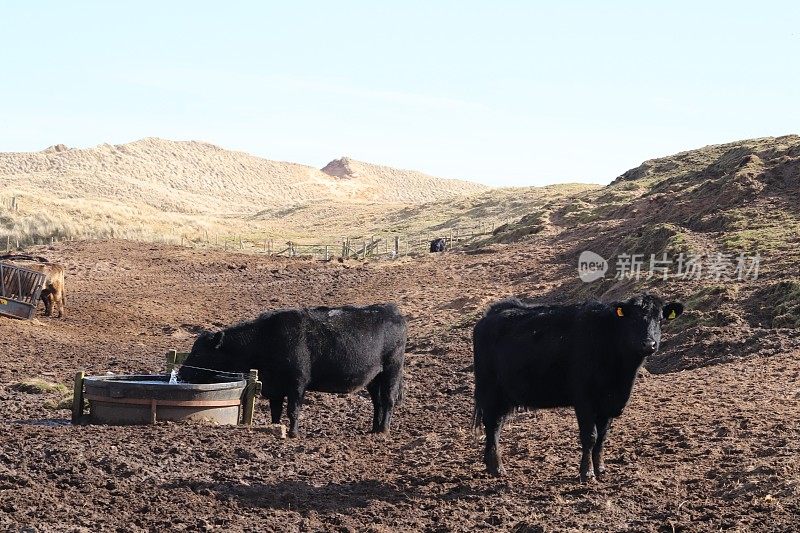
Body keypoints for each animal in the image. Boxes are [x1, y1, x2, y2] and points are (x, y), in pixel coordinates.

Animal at [179, 304, 410, 436]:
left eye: (198, 354)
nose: (181, 373)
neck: (267, 338)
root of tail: (392, 310)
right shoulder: (274, 387)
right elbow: (275, 411)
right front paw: (275, 428)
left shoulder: (297, 383)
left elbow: (293, 410)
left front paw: (293, 433)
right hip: (374, 377)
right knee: (378, 402)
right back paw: (375, 429)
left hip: (392, 369)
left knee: (388, 399)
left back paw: (384, 431)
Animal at [472, 294, 684, 480]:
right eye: (632, 319)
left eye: (660, 319)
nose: (649, 344)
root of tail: (493, 312)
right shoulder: (584, 400)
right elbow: (590, 436)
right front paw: (587, 473)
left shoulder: (607, 403)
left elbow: (602, 437)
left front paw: (600, 469)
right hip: (490, 391)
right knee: (492, 426)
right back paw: (497, 468)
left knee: (497, 425)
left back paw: (490, 464)